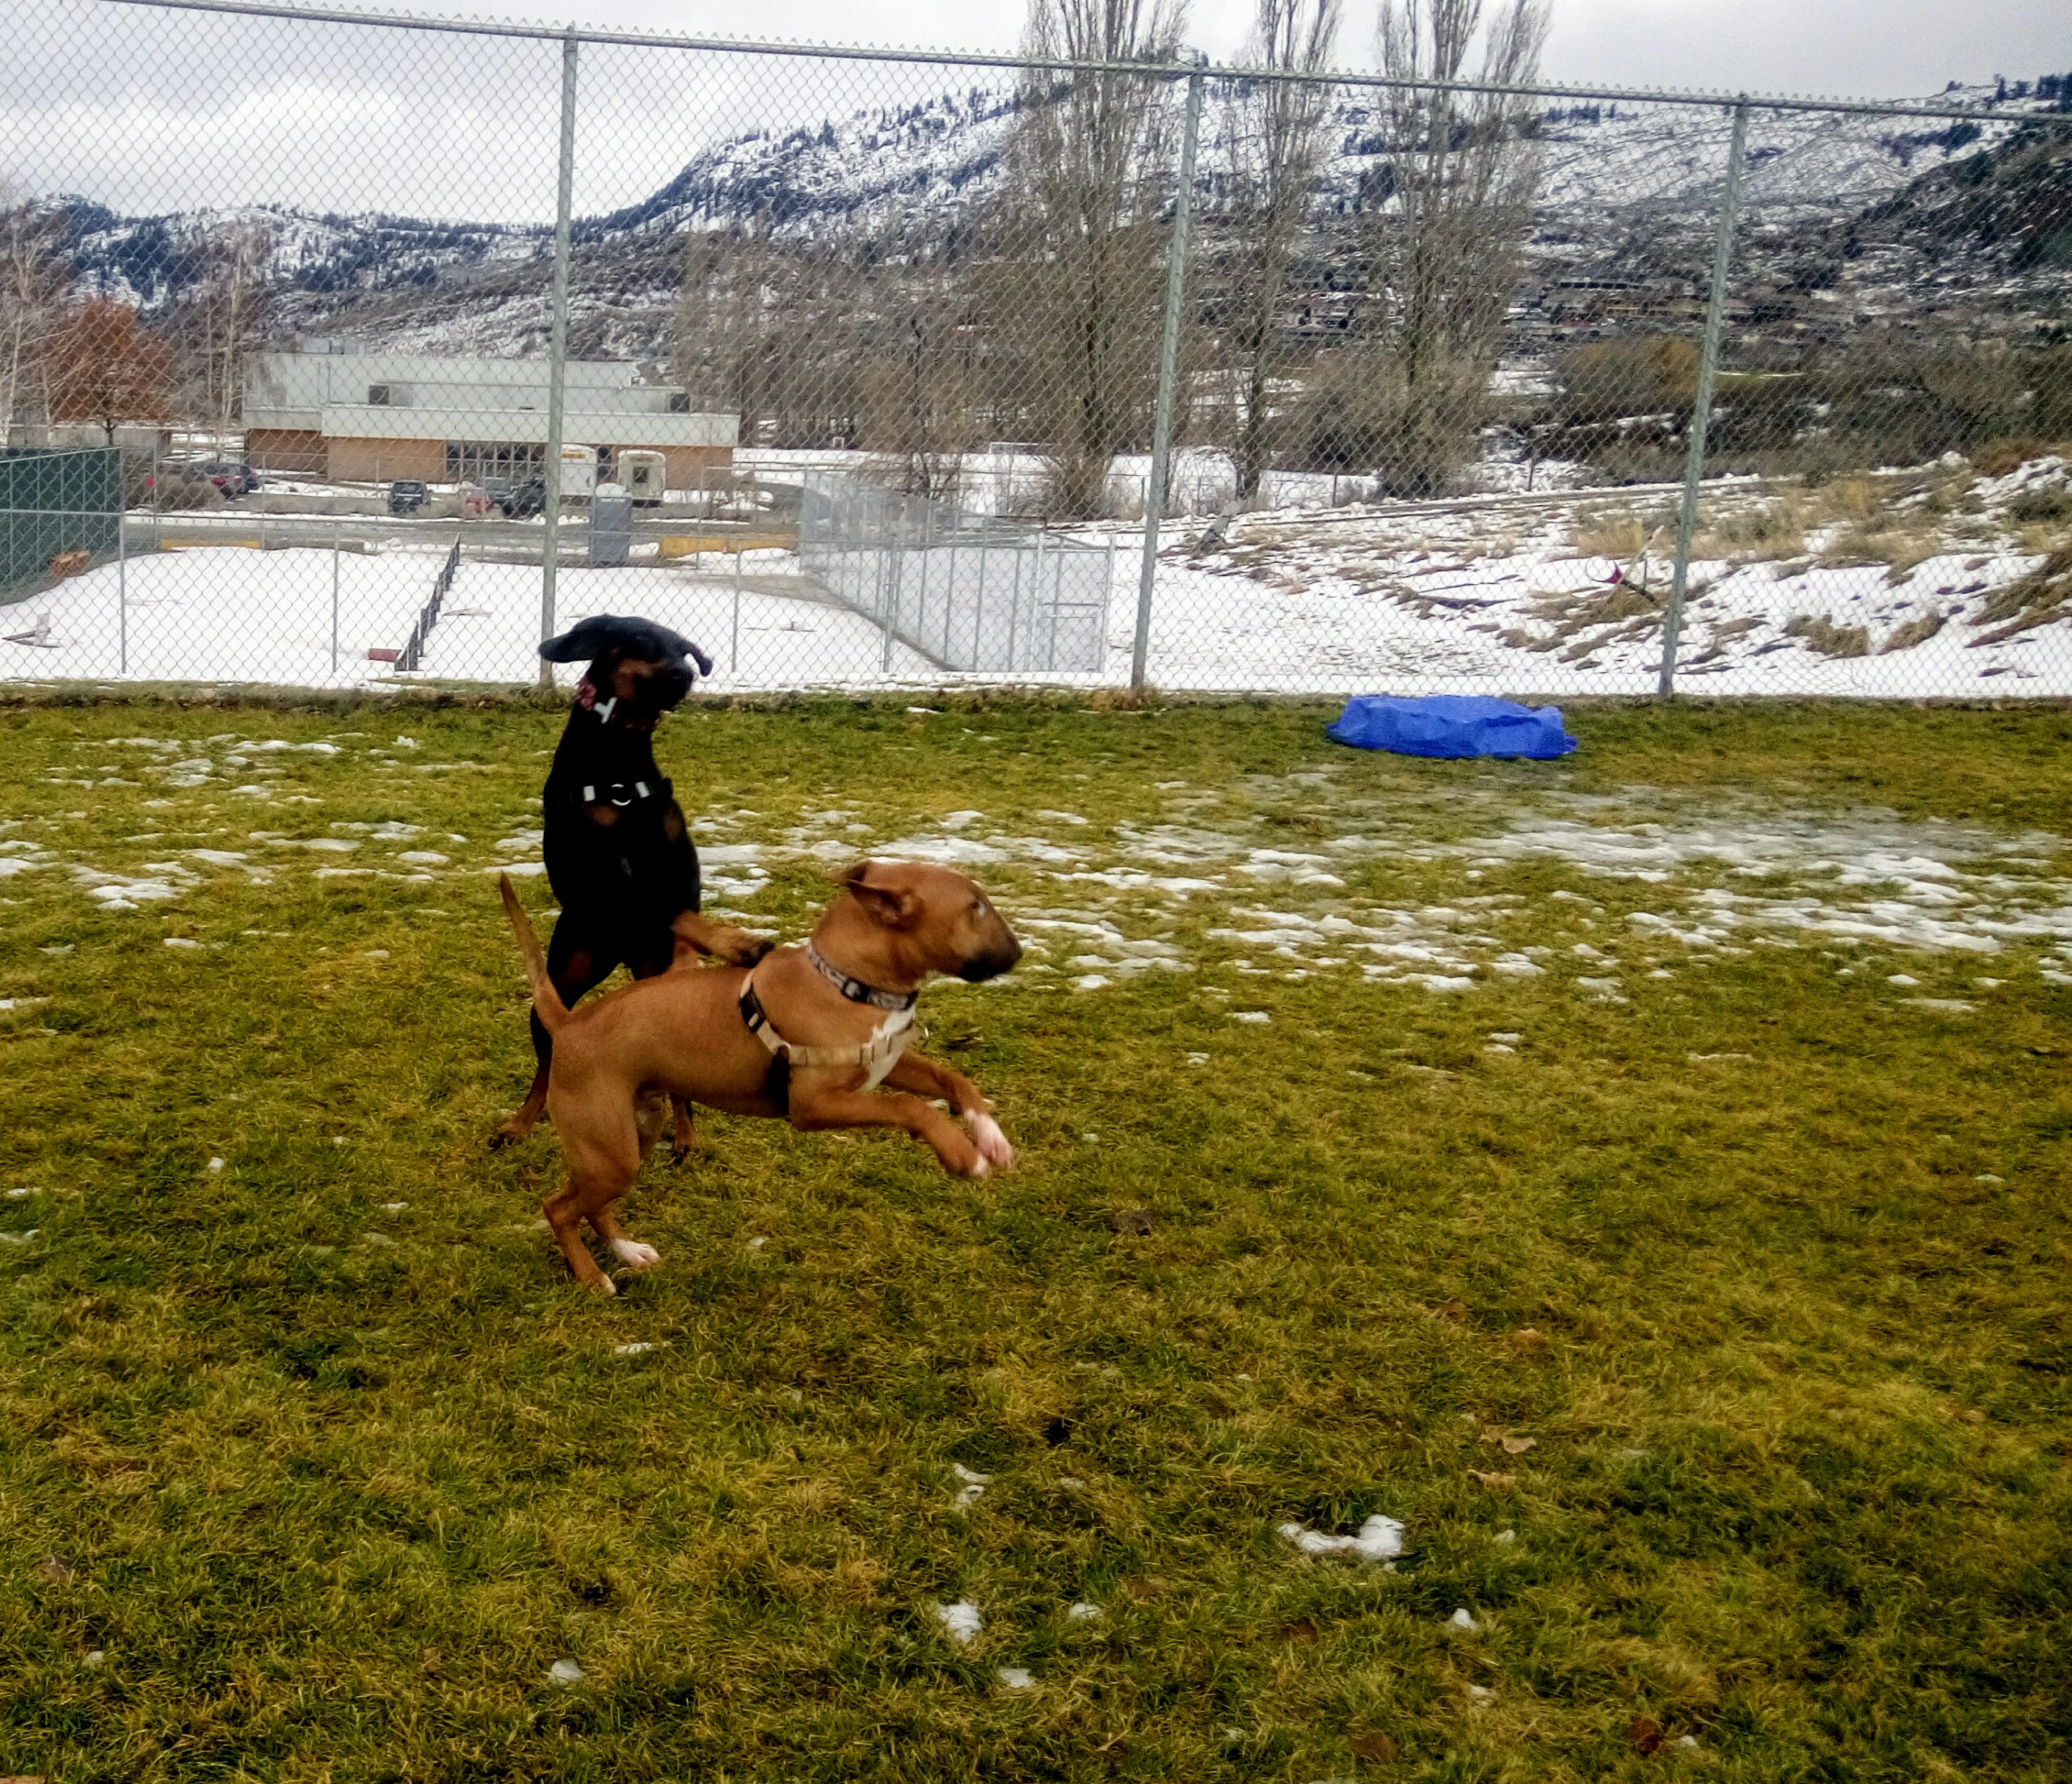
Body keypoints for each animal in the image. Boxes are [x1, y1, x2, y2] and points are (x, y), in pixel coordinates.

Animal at [491, 617, 770, 1151]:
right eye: (641, 641)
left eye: (683, 649)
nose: (686, 674)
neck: (619, 756)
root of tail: (623, 955)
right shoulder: (603, 874)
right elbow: (661, 906)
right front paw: (740, 944)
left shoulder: (680, 860)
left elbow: (680, 907)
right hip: (561, 982)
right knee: (546, 1067)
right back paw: (519, 1122)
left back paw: (686, 1135)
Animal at [501, 857, 1019, 1284]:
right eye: (975, 907)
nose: (1018, 953)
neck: (847, 983)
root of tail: (568, 1023)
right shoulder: (814, 1106)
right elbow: (913, 1107)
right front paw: (963, 1154)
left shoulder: (886, 1064)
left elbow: (953, 1080)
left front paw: (990, 1137)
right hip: (610, 1153)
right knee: (558, 1209)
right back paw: (593, 1278)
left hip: (629, 1139)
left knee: (590, 1207)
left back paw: (626, 1251)